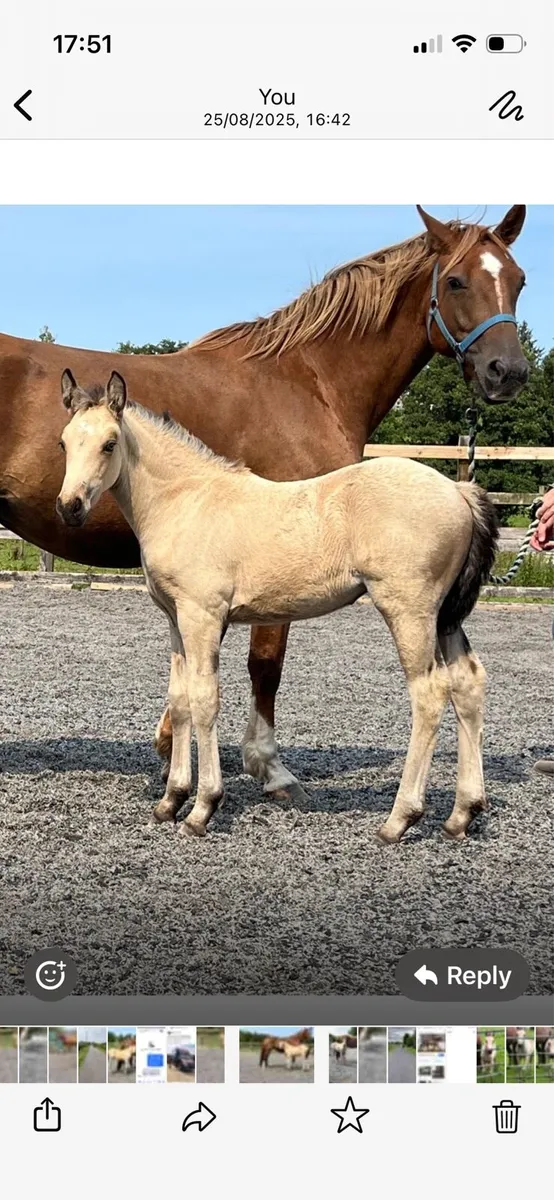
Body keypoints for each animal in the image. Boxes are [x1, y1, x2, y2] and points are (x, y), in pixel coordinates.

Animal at [57, 369, 498, 843]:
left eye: (109, 443)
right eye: (63, 443)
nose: (69, 507)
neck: (185, 501)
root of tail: (458, 488)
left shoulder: (203, 615)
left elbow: (204, 700)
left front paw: (202, 808)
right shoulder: (176, 618)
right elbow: (179, 700)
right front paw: (170, 801)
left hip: (409, 610)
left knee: (430, 694)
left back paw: (399, 819)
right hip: (445, 616)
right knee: (468, 684)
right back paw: (462, 814)